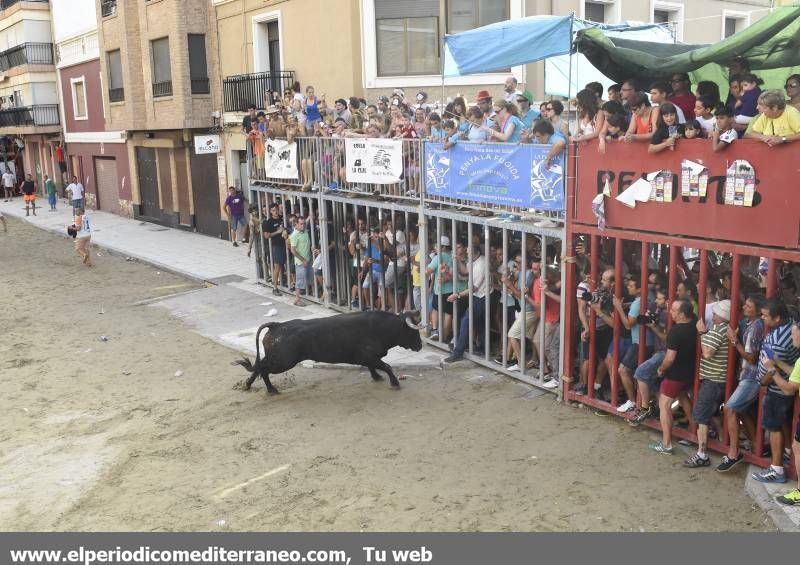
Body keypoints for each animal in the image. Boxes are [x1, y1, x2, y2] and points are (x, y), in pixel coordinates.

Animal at [234, 308, 424, 392]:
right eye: (412, 331)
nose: (420, 346)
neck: (381, 328)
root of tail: (277, 325)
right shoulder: (369, 356)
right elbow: (387, 366)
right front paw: (395, 383)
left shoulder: (368, 358)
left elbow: (374, 367)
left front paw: (377, 377)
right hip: (283, 362)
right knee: (263, 369)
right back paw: (271, 389)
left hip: (277, 359)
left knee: (259, 366)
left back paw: (248, 385)